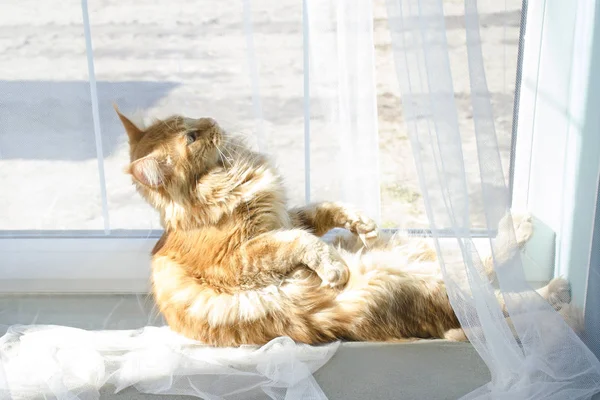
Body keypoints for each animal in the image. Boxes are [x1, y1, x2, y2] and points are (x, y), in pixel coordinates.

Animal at [116, 108, 572, 346]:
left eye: (189, 119)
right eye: (192, 137)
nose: (211, 119)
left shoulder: (288, 214)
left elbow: (323, 212)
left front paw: (362, 222)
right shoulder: (242, 255)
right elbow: (297, 242)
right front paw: (333, 267)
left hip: (427, 256)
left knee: (486, 265)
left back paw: (522, 230)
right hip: (427, 285)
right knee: (505, 298)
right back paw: (556, 286)